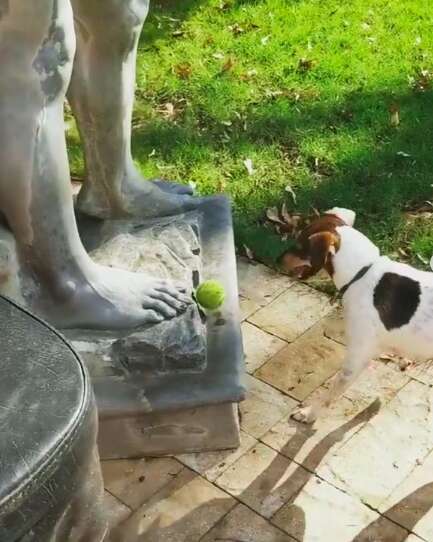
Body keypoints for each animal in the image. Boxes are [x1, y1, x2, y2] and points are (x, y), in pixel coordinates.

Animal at [278, 208, 430, 424]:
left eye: (299, 244)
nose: (277, 259)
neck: (362, 272)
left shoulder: (355, 360)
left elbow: (330, 394)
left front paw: (308, 414)